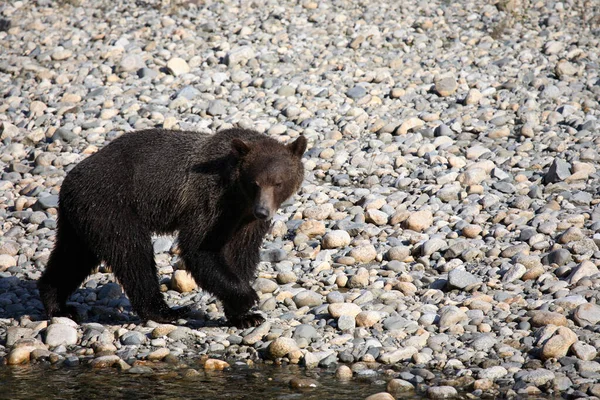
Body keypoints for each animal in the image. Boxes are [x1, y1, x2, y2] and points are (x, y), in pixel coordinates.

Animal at [38, 128, 304, 328]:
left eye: (278, 183)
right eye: (255, 182)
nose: (263, 211)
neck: (236, 197)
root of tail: (69, 179)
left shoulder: (244, 221)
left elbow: (241, 255)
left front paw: (245, 316)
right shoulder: (208, 201)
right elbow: (199, 248)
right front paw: (248, 298)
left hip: (82, 217)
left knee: (72, 257)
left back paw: (58, 305)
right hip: (111, 204)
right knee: (133, 255)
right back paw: (165, 311)